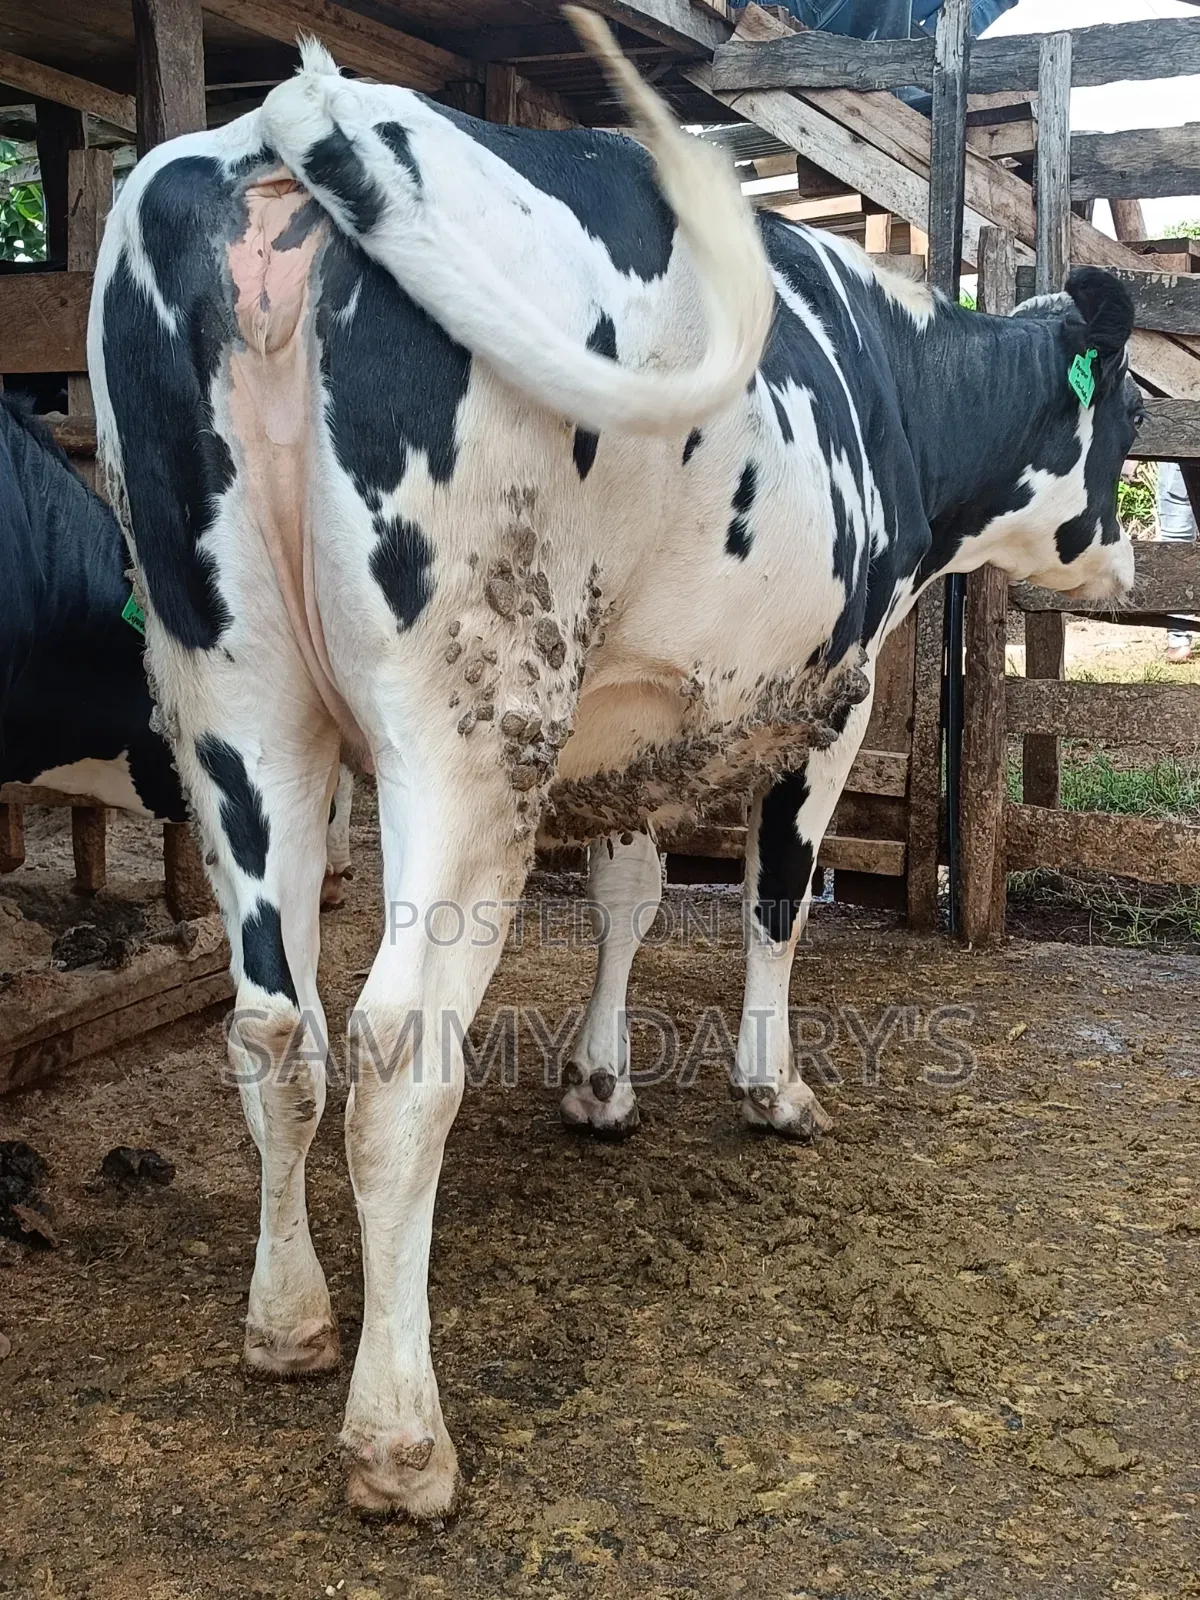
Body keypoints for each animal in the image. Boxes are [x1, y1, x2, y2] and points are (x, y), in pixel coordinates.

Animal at [89, 14, 1138, 1517]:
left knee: (274, 1025)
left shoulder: (635, 709)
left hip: (235, 703)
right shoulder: (838, 690)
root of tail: (272, 131)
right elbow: (774, 897)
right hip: (469, 720)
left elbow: (630, 895)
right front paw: (772, 1090)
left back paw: (288, 1321)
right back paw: (398, 1433)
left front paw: (599, 1084)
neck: (898, 384)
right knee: (398, 1052)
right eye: (1126, 420)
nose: (1133, 553)